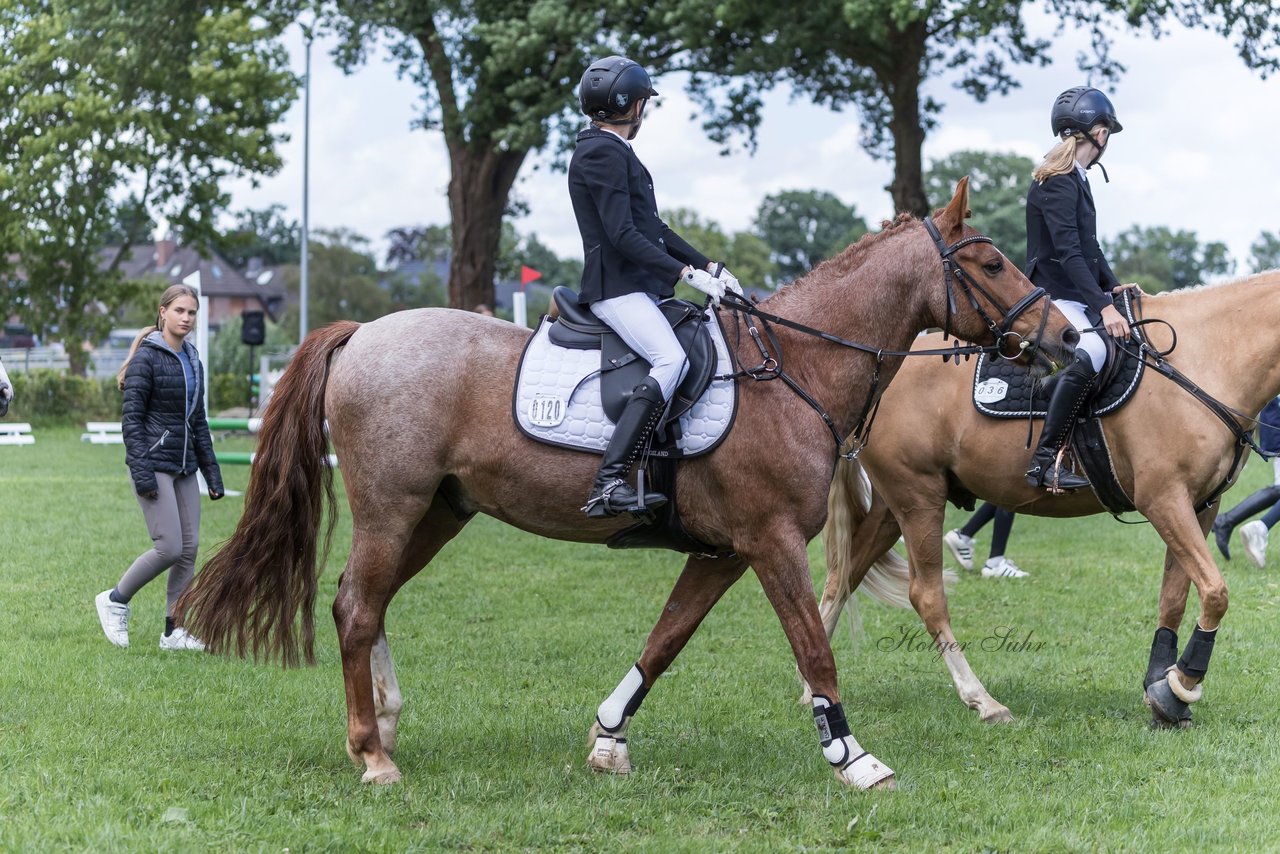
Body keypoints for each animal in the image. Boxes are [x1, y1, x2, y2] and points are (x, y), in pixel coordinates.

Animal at [180, 179, 1080, 788]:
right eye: (991, 261)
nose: (1067, 339)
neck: (795, 366)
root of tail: (364, 332)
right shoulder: (771, 543)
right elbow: (812, 646)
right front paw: (853, 757)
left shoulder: (723, 551)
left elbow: (666, 640)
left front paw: (608, 738)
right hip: (391, 506)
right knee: (358, 606)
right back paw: (373, 754)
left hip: (437, 511)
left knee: (362, 601)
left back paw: (386, 724)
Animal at [814, 270, 1280, 737]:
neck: (1205, 357)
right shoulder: (1164, 499)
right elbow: (1215, 592)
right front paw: (1180, 685)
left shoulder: (1201, 504)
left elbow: (1175, 597)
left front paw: (1161, 693)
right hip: (918, 497)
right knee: (926, 595)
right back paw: (982, 700)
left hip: (893, 506)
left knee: (842, 578)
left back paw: (812, 693)